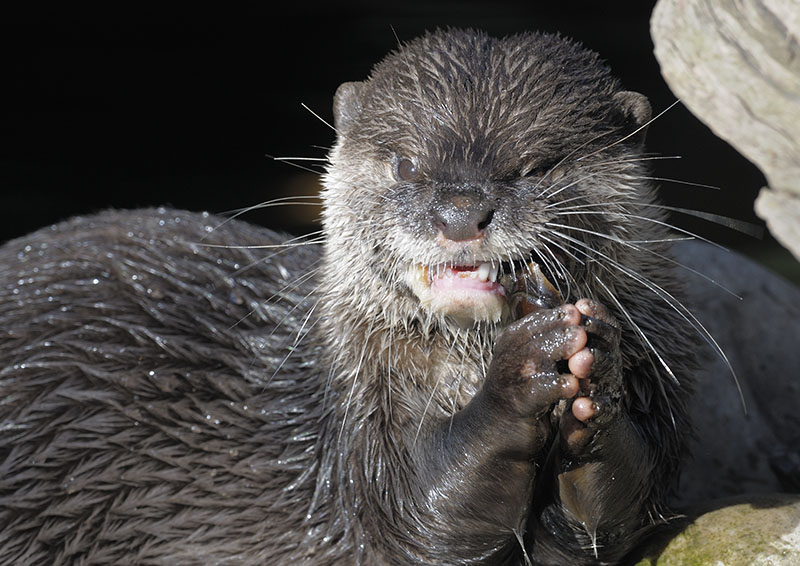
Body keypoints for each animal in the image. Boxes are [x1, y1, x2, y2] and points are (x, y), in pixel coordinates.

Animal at [0, 28, 768, 565]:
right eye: (407, 164)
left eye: (538, 166)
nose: (461, 212)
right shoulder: (356, 447)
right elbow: (422, 513)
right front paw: (526, 368)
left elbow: (616, 516)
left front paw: (596, 378)